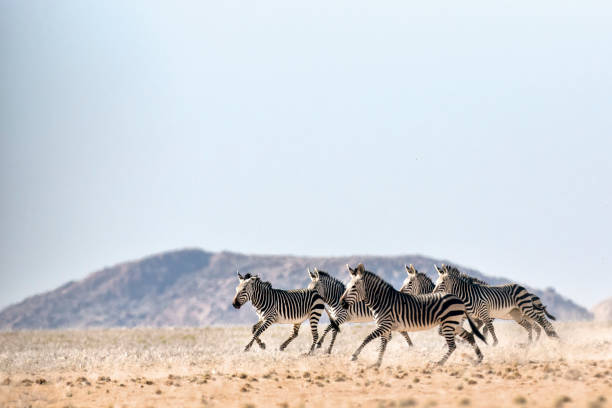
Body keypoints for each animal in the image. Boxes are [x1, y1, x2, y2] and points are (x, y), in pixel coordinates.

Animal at [338, 262, 486, 368]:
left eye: (353, 287)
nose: (341, 303)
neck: (382, 301)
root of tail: (458, 298)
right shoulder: (385, 327)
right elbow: (383, 345)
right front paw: (377, 363)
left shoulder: (385, 325)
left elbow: (367, 338)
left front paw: (354, 356)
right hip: (454, 324)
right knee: (469, 336)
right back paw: (479, 358)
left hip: (448, 324)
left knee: (453, 346)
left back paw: (438, 363)